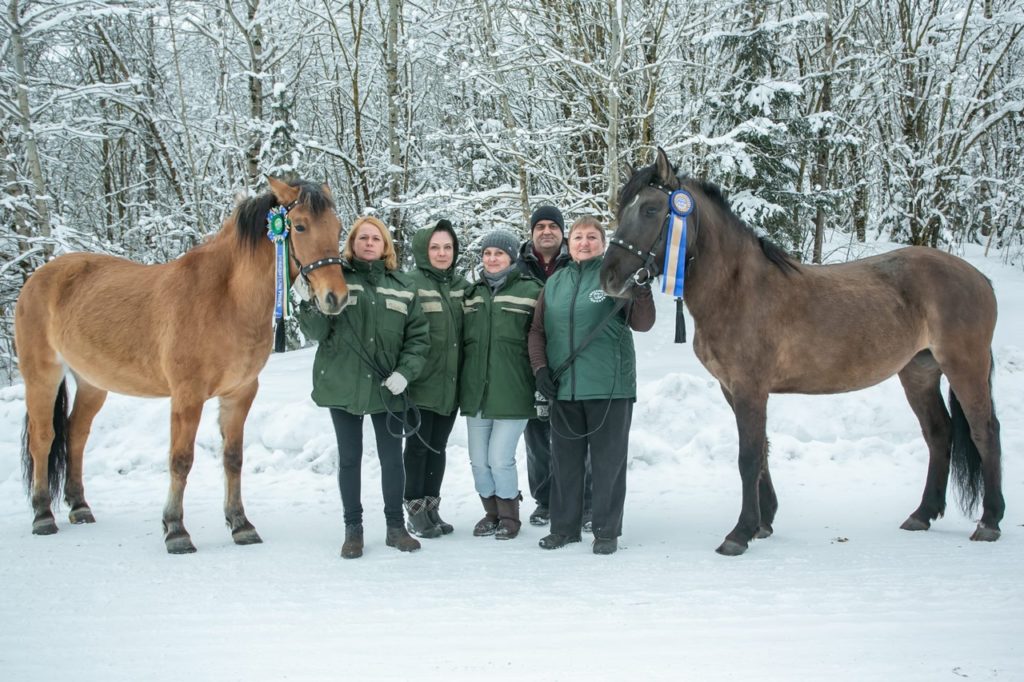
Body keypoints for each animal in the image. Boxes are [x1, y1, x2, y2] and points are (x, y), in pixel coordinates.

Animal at [15, 177, 350, 553]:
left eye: (337, 228)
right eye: (300, 226)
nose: (336, 297)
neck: (225, 299)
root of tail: (38, 277)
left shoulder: (240, 393)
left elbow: (233, 459)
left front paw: (240, 524)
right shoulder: (187, 396)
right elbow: (180, 460)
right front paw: (176, 530)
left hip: (92, 384)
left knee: (75, 435)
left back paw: (80, 507)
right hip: (42, 377)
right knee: (43, 438)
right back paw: (43, 515)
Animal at [601, 147, 1004, 556]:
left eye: (651, 209)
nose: (609, 277)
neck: (737, 290)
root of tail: (980, 278)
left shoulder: (750, 388)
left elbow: (748, 456)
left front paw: (740, 533)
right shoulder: (732, 389)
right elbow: (761, 451)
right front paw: (764, 521)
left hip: (964, 366)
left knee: (984, 431)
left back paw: (989, 521)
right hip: (919, 372)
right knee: (939, 433)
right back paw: (922, 514)